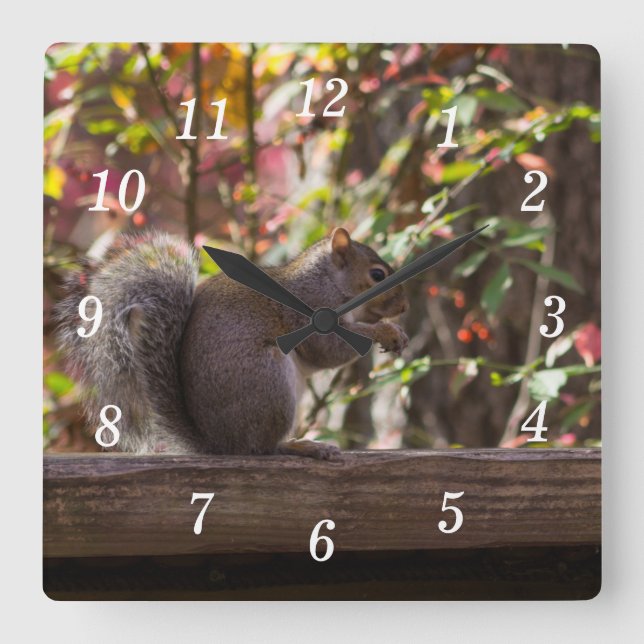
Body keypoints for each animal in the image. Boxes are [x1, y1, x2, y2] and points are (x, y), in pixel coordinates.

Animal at [56, 228, 409, 459]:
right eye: (378, 275)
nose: (404, 306)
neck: (327, 281)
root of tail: (219, 443)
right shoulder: (311, 311)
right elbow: (329, 351)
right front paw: (386, 332)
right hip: (269, 383)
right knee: (261, 448)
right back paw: (299, 446)